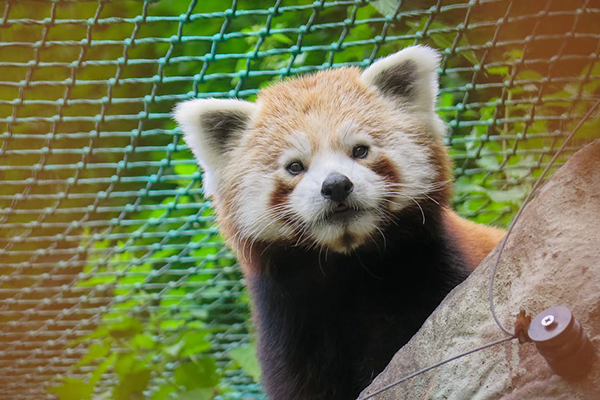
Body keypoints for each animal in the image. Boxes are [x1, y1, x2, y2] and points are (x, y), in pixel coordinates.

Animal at [175, 45, 506, 400]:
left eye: (359, 150)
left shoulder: (436, 275)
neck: (349, 267)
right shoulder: (289, 326)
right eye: (295, 166)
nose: (335, 185)